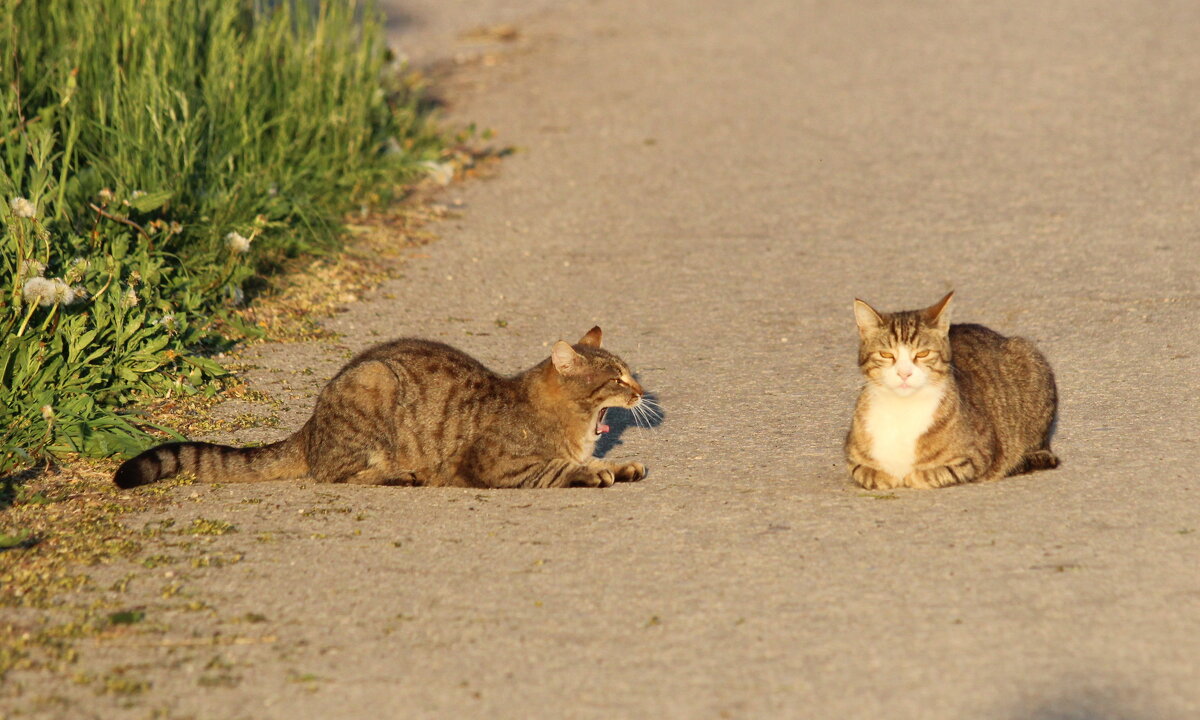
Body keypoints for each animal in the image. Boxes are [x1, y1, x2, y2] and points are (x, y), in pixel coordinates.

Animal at [114, 331, 648, 489]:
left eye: (630, 373)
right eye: (617, 377)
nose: (642, 390)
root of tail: (311, 425)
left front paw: (621, 464)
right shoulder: (497, 465)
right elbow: (557, 469)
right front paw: (592, 473)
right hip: (374, 385)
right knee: (334, 474)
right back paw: (402, 475)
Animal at [844, 292, 1060, 489]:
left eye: (923, 353)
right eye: (886, 354)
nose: (904, 373)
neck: (902, 409)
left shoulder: (978, 457)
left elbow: (930, 474)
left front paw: (909, 476)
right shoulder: (852, 458)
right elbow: (865, 472)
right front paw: (883, 476)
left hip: (1029, 356)